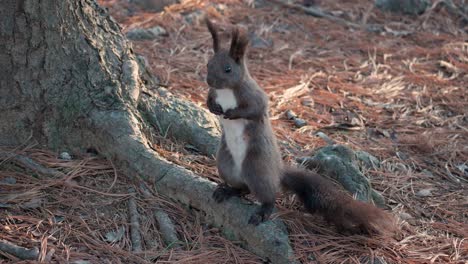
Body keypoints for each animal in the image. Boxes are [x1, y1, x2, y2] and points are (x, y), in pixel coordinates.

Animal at [205, 19, 394, 235]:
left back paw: (263, 210)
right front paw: (213, 107)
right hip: (226, 164)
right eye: (208, 64)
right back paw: (227, 190)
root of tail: (277, 171)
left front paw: (231, 113)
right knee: (242, 187)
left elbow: (255, 108)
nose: (209, 80)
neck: (225, 91)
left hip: (257, 168)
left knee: (267, 194)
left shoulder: (252, 95)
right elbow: (209, 99)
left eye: (228, 69)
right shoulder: (213, 92)